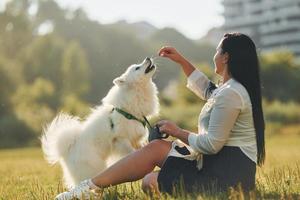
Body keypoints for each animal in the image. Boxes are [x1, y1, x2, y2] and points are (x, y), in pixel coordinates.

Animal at [42, 57, 161, 188]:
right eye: (137, 68)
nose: (148, 58)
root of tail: (68, 151)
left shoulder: (135, 137)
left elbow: (139, 146)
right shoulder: (120, 139)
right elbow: (131, 151)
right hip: (94, 167)